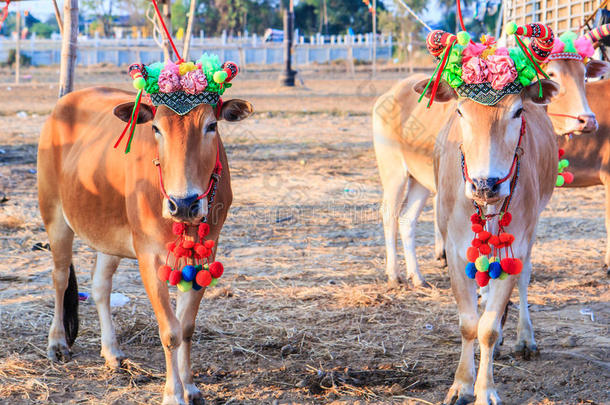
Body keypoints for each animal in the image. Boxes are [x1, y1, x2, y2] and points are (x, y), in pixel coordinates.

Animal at [38, 87, 253, 402]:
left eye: (211, 125)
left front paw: (190, 387)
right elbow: (170, 331)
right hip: (54, 213)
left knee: (100, 286)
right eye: (156, 128)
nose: (184, 203)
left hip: (108, 233)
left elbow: (186, 327)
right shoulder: (149, 257)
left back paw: (111, 351)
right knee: (60, 278)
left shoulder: (207, 252)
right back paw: (57, 343)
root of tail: (64, 102)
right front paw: (173, 395)